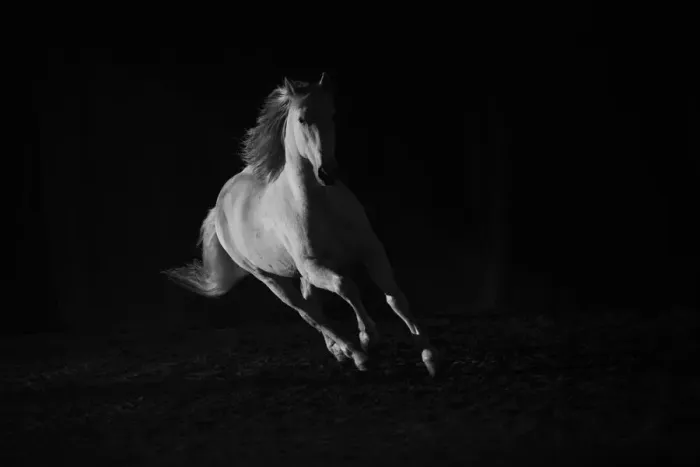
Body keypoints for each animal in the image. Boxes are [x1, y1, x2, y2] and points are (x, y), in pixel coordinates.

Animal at [164, 73, 439, 376]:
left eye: (332, 114)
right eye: (302, 119)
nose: (327, 172)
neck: (321, 204)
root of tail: (220, 205)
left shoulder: (371, 250)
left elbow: (395, 297)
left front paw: (428, 356)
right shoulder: (314, 265)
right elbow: (347, 287)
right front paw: (369, 338)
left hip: (303, 274)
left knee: (313, 304)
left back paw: (342, 351)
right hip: (270, 278)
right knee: (308, 312)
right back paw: (356, 354)